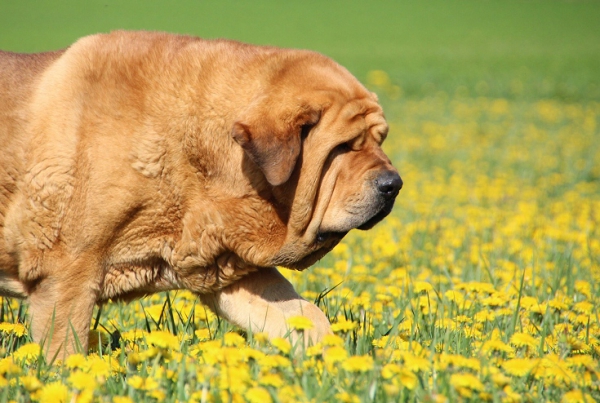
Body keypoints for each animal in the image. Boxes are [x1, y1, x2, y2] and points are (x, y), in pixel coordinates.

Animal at [1, 32, 404, 360]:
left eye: (379, 140)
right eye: (344, 147)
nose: (394, 184)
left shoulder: (230, 268)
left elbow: (306, 318)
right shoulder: (66, 272)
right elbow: (64, 350)